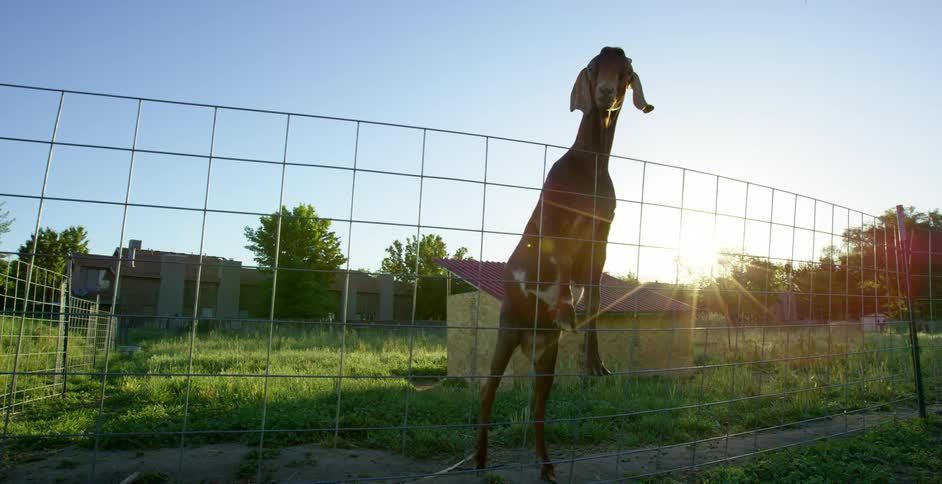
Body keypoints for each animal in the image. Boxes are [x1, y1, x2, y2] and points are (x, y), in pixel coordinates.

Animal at [475, 47, 654, 482]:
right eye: (592, 69)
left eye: (626, 71)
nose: (606, 93)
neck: (589, 168)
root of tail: (527, 336)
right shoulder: (555, 226)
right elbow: (558, 270)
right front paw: (564, 309)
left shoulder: (601, 235)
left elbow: (595, 295)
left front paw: (595, 364)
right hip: (506, 330)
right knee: (488, 390)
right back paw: (479, 457)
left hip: (545, 353)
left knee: (538, 407)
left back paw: (547, 466)